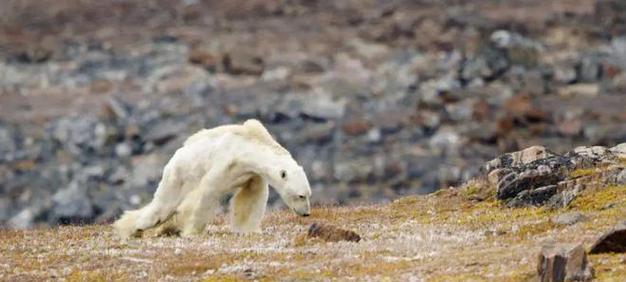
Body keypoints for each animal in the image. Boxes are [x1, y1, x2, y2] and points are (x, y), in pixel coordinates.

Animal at [112, 118, 312, 239]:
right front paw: (192, 231)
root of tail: (176, 154)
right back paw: (135, 227)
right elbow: (207, 192)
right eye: (301, 195)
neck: (248, 147)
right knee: (163, 206)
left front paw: (249, 230)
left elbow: (250, 199)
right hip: (179, 174)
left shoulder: (252, 174)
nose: (306, 213)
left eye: (308, 194)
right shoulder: (225, 162)